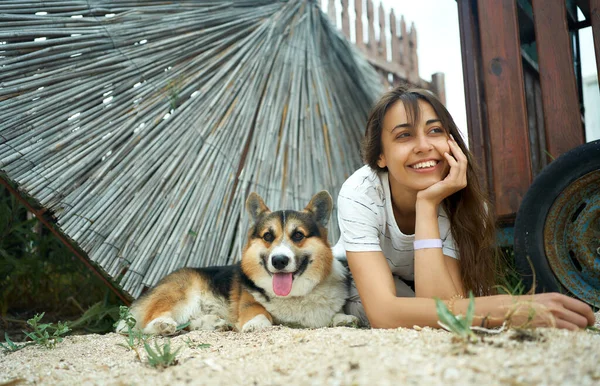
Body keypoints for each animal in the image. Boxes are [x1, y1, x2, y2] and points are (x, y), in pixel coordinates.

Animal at [119, 191, 358, 334]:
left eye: (298, 235)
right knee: (150, 320)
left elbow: (336, 316)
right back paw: (162, 325)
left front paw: (343, 318)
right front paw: (256, 323)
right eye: (268, 236)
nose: (279, 260)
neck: (295, 295)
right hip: (180, 293)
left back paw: (213, 323)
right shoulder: (250, 304)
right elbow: (260, 312)